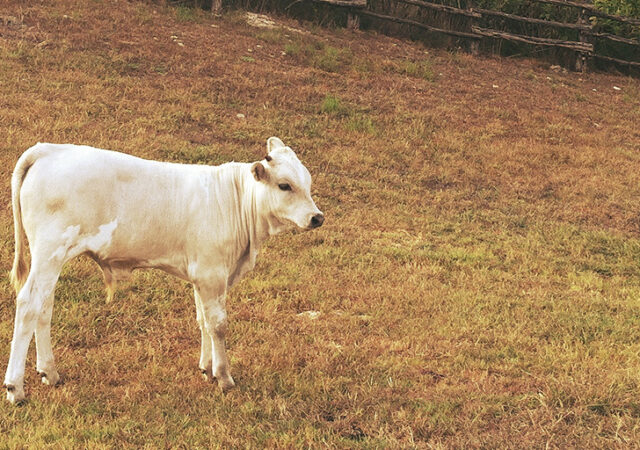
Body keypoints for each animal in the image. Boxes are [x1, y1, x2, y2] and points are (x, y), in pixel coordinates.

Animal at [3, 137, 324, 404]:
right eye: (285, 185)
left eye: (307, 182)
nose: (317, 217)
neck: (233, 202)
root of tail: (49, 149)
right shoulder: (212, 274)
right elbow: (218, 324)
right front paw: (224, 376)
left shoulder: (201, 275)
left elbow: (202, 320)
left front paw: (206, 367)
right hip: (49, 253)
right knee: (29, 304)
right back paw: (15, 388)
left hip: (51, 261)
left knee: (44, 307)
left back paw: (49, 372)